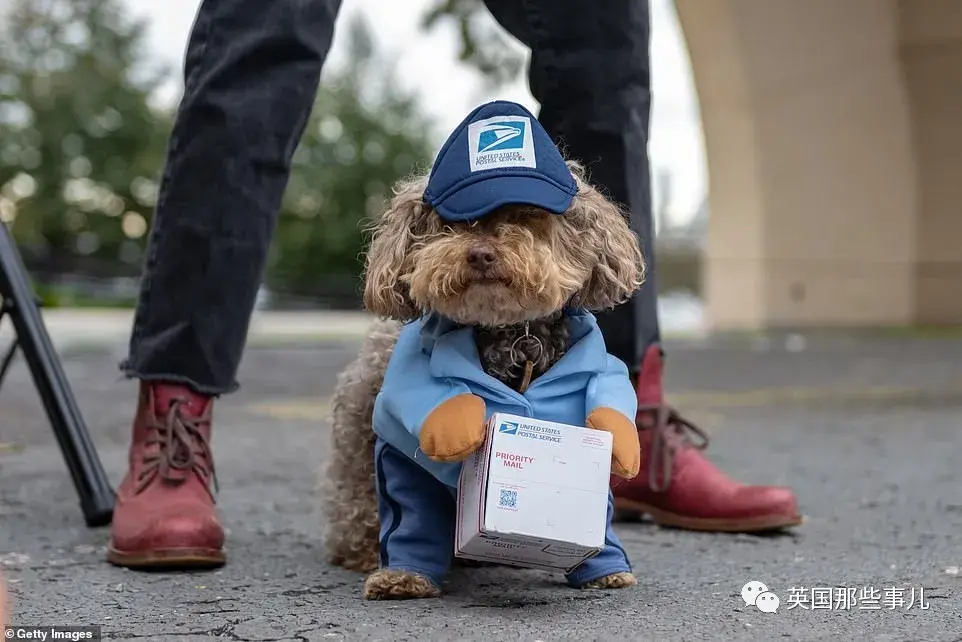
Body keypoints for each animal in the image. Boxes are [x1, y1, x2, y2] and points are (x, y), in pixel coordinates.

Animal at [320, 99, 644, 596]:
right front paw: (402, 575)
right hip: (355, 450)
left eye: (527, 215)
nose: (480, 253)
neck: (512, 337)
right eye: (449, 223)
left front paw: (607, 570)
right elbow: (410, 516)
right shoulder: (400, 454)